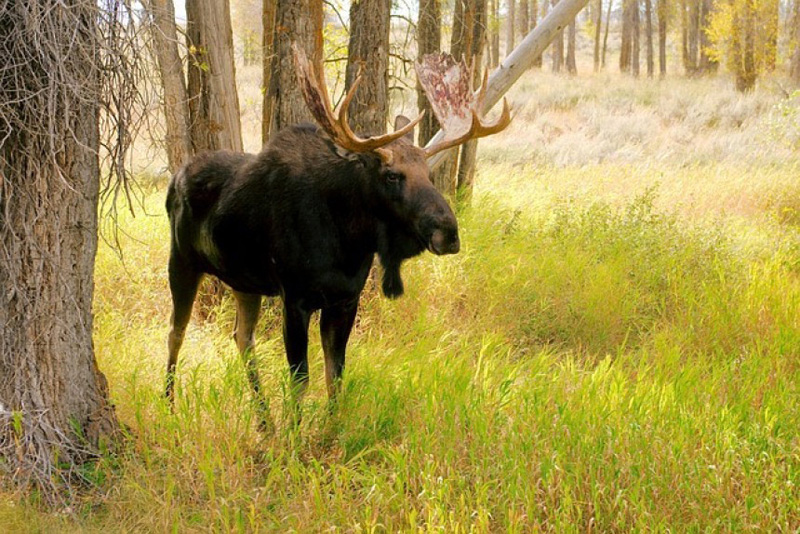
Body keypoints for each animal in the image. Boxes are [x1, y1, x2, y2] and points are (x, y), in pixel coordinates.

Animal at [164, 45, 511, 430]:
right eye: (392, 175)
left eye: (428, 172)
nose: (448, 232)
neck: (348, 242)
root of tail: (174, 178)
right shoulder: (295, 297)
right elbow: (301, 378)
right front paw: (296, 436)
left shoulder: (345, 299)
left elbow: (336, 375)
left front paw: (330, 430)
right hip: (181, 262)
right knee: (175, 334)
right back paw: (170, 407)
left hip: (244, 282)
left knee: (242, 337)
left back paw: (265, 421)